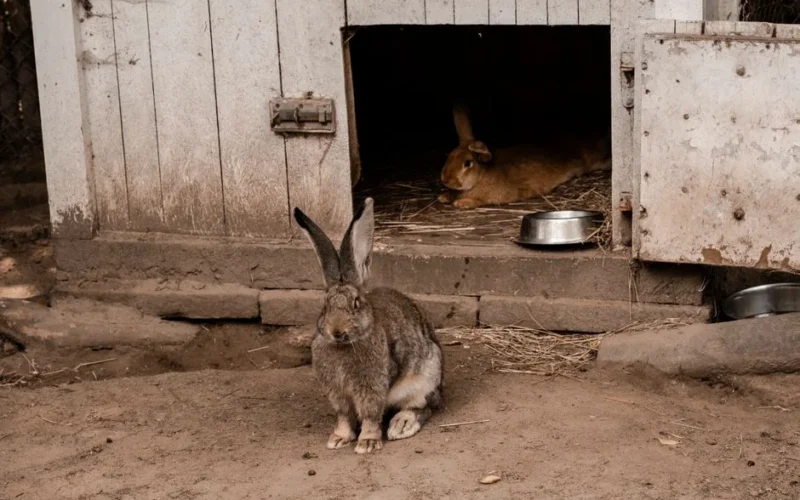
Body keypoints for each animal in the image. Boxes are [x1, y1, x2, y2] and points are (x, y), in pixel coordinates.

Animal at [293, 198, 444, 454]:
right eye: (325, 305)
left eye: (356, 303)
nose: (336, 331)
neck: (346, 346)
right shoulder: (338, 394)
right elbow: (344, 416)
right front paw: (338, 438)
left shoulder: (372, 389)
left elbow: (371, 415)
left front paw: (368, 443)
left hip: (425, 378)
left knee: (424, 407)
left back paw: (401, 425)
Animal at [438, 104, 611, 209]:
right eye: (449, 155)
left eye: (467, 163)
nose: (445, 180)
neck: (481, 176)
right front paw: (443, 197)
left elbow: (480, 200)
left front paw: (462, 202)